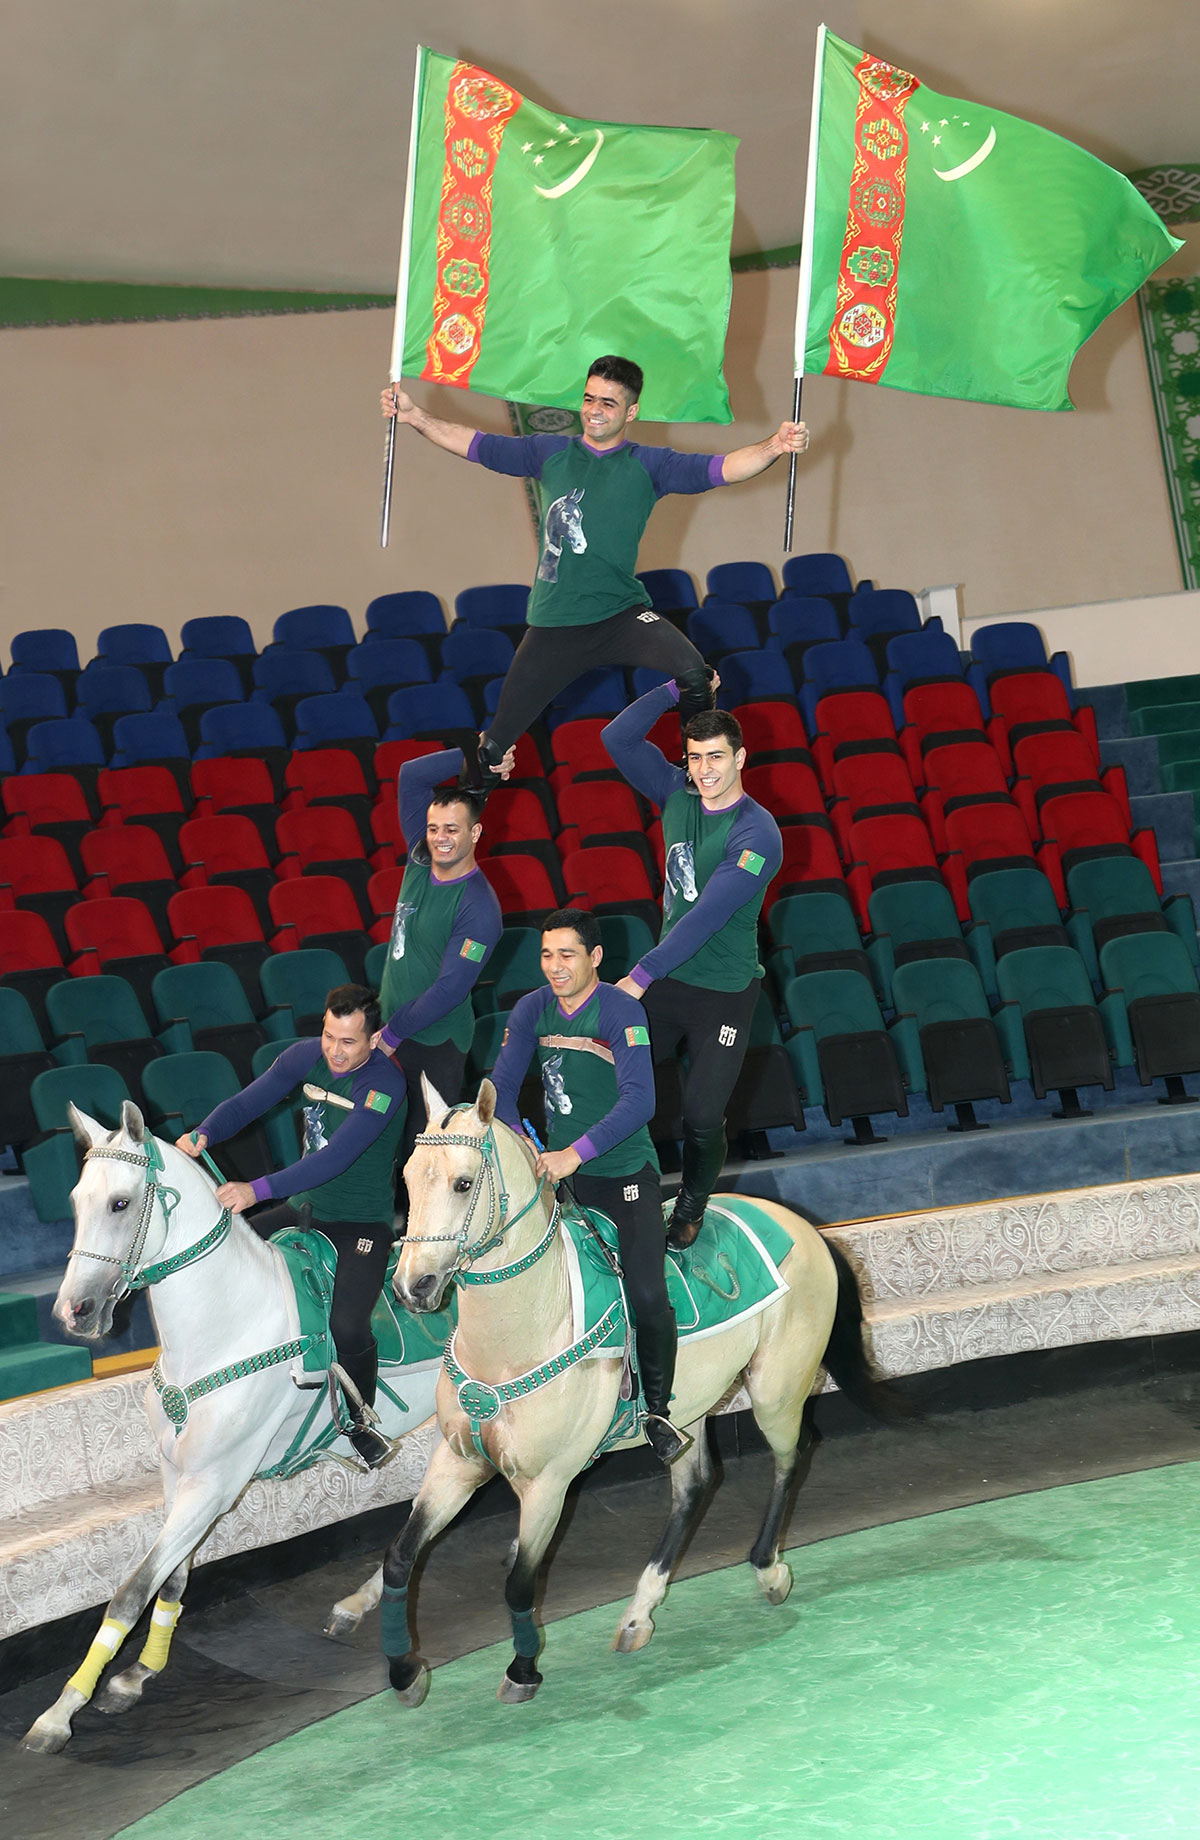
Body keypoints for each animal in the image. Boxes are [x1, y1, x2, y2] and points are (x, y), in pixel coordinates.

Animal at [22, 1104, 439, 1751]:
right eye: (75, 1200)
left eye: (120, 1203)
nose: (74, 1311)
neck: (224, 1327)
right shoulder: (182, 1479)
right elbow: (172, 1579)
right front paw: (138, 1673)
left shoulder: (213, 1484)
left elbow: (130, 1591)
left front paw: (60, 1712)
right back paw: (358, 1602)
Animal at [325, 1074, 890, 1707]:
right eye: (406, 1179)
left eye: (463, 1182)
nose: (412, 1286)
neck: (518, 1335)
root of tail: (802, 1227)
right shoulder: (457, 1461)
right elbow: (400, 1556)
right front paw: (404, 1671)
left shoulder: (548, 1484)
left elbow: (520, 1582)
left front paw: (523, 1668)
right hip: (688, 1412)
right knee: (695, 1485)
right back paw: (639, 1613)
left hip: (776, 1391)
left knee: (793, 1457)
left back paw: (768, 1569)